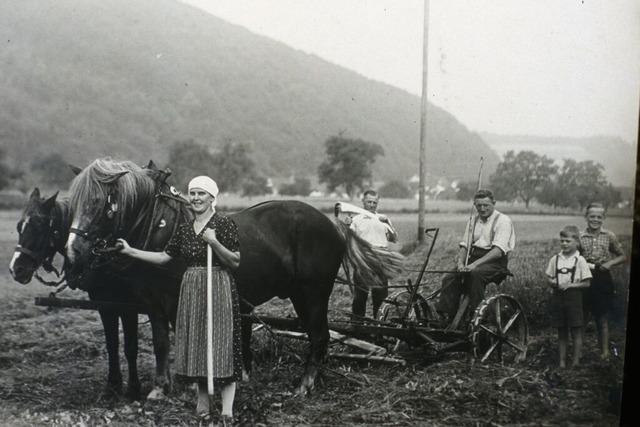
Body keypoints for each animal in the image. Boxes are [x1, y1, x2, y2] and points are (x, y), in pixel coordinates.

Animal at [9, 189, 145, 400]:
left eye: (39, 226)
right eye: (19, 227)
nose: (16, 269)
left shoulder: (129, 305)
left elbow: (131, 346)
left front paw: (133, 389)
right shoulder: (103, 303)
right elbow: (112, 344)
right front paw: (112, 385)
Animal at [66, 159, 404, 396]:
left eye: (98, 203)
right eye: (71, 204)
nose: (72, 253)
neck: (161, 226)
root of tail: (335, 226)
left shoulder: (175, 299)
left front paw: (190, 385)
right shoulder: (153, 302)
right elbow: (162, 343)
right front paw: (161, 388)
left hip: (314, 293)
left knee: (320, 336)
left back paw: (305, 385)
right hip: (301, 294)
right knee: (317, 337)